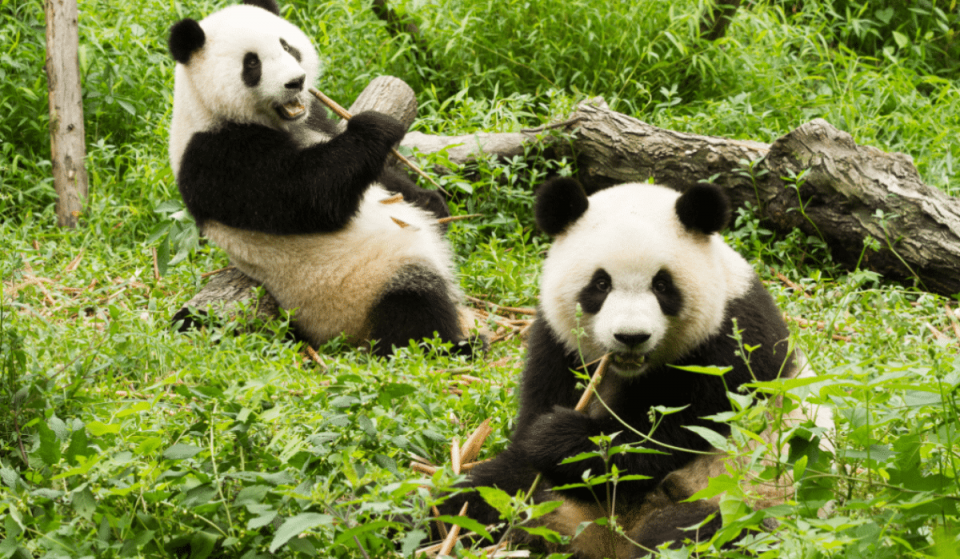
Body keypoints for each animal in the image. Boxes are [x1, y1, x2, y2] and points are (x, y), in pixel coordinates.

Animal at [167, 0, 478, 356]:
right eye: (252, 63)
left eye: (287, 46)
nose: (296, 81)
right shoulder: (215, 156)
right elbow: (311, 195)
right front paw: (375, 127)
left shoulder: (312, 117)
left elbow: (376, 175)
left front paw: (431, 200)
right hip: (360, 286)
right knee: (412, 307)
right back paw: (455, 346)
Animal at [433, 178, 826, 556]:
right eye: (600, 283)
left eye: (662, 285)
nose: (631, 336)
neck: (631, 371)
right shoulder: (558, 344)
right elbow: (534, 424)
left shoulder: (731, 346)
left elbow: (666, 437)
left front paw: (560, 438)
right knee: (483, 491)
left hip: (744, 500)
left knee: (701, 534)